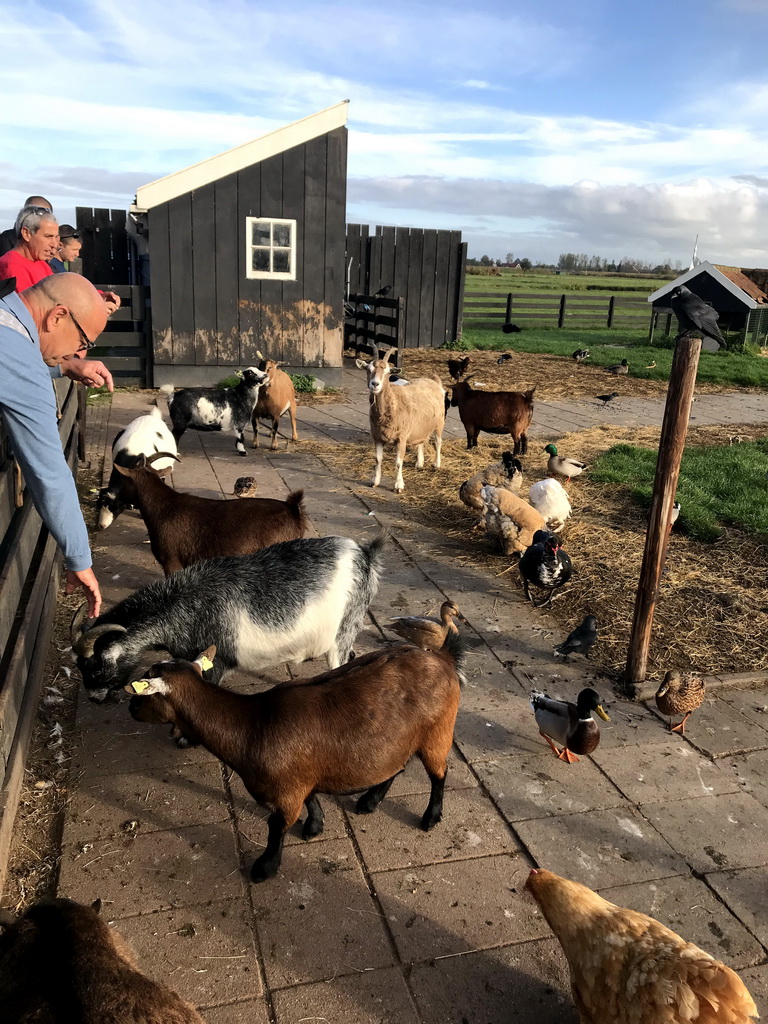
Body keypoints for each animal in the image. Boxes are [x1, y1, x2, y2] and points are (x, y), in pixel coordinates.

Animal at [72, 536, 385, 704]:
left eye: (96, 668)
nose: (94, 698)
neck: (184, 604)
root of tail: (365, 554)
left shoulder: (215, 661)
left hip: (344, 628)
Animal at [128, 630, 462, 880]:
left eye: (142, 692)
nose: (130, 709)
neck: (252, 724)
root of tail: (443, 658)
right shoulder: (301, 778)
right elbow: (312, 799)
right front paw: (315, 826)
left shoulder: (286, 794)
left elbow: (276, 829)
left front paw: (264, 868)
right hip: (398, 742)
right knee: (396, 766)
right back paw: (370, 801)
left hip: (438, 733)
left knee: (439, 774)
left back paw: (431, 816)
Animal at [358, 346, 448, 493]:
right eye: (368, 369)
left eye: (388, 372)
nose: (375, 384)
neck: (393, 401)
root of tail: (434, 381)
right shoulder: (377, 437)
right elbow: (378, 459)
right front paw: (374, 481)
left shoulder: (401, 437)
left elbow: (399, 463)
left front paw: (399, 485)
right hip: (421, 425)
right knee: (422, 441)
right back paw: (419, 463)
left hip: (439, 422)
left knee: (438, 441)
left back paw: (436, 464)